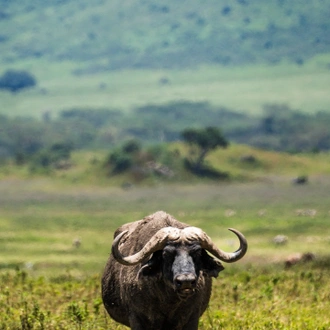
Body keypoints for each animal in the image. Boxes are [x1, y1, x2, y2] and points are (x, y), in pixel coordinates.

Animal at [101, 211, 248, 330]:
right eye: (166, 254)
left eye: (197, 252)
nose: (186, 281)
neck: (168, 301)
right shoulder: (137, 319)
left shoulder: (191, 319)